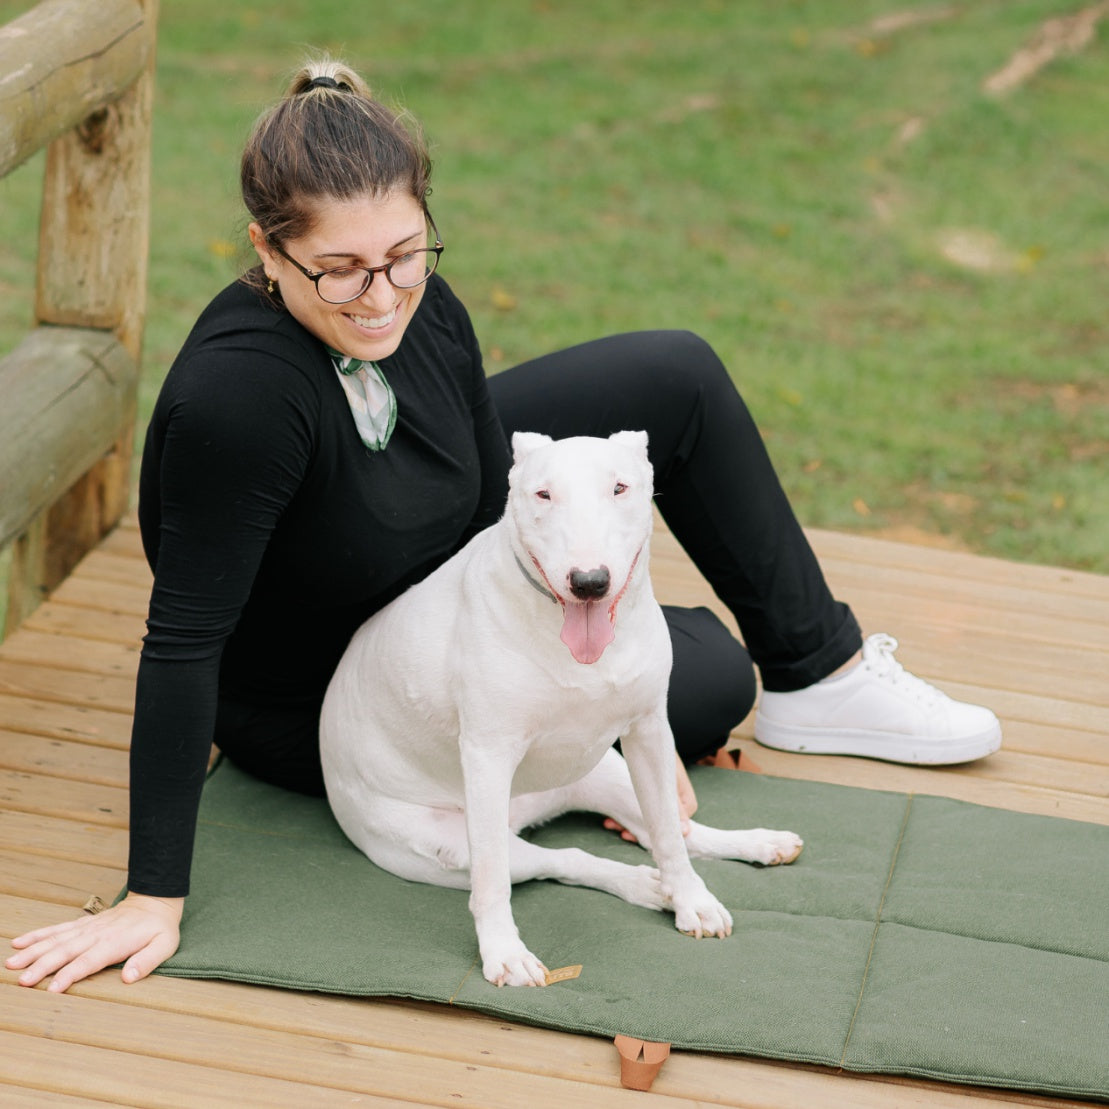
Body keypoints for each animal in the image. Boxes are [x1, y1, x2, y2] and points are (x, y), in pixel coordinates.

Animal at [317, 430, 802, 989]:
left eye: (619, 488)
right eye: (543, 495)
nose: (589, 581)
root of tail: (529, 810)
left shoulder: (649, 732)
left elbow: (669, 833)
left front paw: (692, 902)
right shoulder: (487, 756)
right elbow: (491, 880)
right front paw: (504, 953)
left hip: (609, 769)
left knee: (673, 831)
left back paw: (754, 846)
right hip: (439, 844)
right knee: (559, 859)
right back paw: (643, 885)